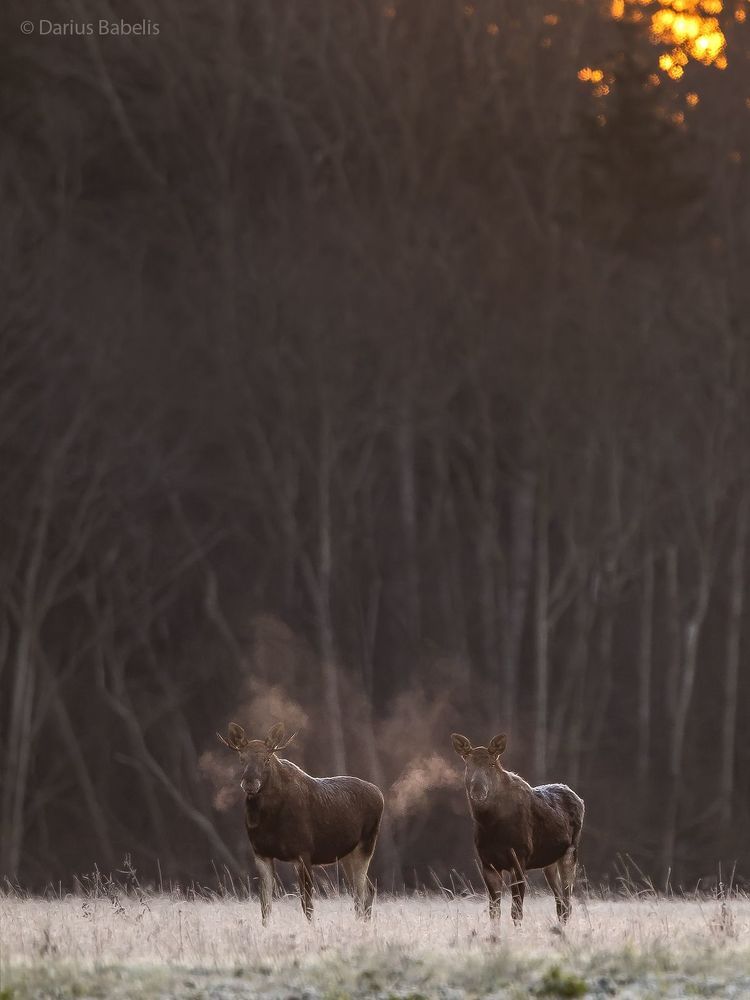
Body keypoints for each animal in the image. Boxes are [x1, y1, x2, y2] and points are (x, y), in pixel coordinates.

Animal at [219, 722, 384, 924]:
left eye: (267, 759)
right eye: (241, 758)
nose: (250, 783)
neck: (268, 820)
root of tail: (380, 794)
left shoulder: (303, 852)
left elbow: (307, 905)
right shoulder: (261, 853)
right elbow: (265, 905)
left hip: (366, 844)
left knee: (362, 891)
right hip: (346, 853)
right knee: (366, 889)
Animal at [451, 733, 584, 925]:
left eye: (492, 764)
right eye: (468, 764)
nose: (478, 790)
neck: (490, 826)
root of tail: (580, 799)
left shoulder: (519, 857)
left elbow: (516, 911)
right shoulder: (487, 863)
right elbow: (494, 912)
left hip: (570, 853)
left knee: (567, 901)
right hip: (549, 862)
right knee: (560, 901)